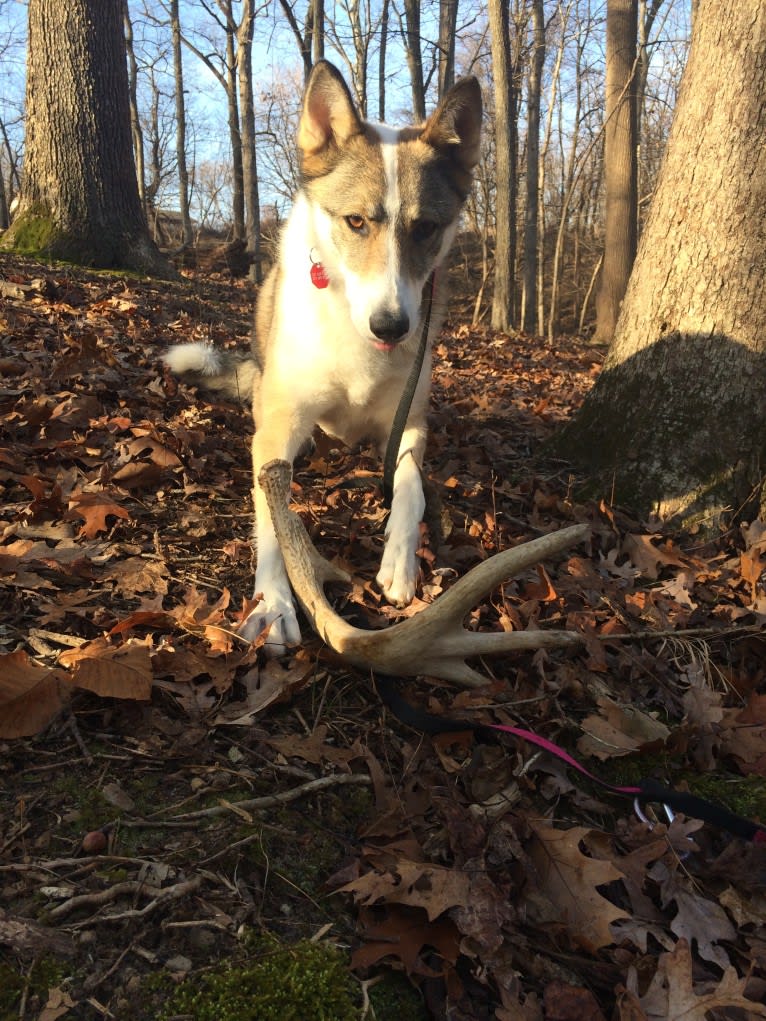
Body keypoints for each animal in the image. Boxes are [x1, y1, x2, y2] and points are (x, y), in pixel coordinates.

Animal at [165, 61, 482, 653]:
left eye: (426, 228)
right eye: (355, 222)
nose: (392, 326)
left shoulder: (409, 423)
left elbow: (410, 484)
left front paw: (400, 561)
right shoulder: (274, 434)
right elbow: (274, 516)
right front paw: (275, 603)